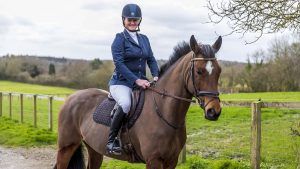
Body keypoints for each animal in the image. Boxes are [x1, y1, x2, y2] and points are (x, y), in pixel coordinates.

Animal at [54, 35, 223, 168]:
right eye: (199, 71)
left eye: (219, 71)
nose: (213, 111)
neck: (163, 112)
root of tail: (71, 97)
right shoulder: (153, 160)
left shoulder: (172, 160)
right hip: (66, 147)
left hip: (94, 148)